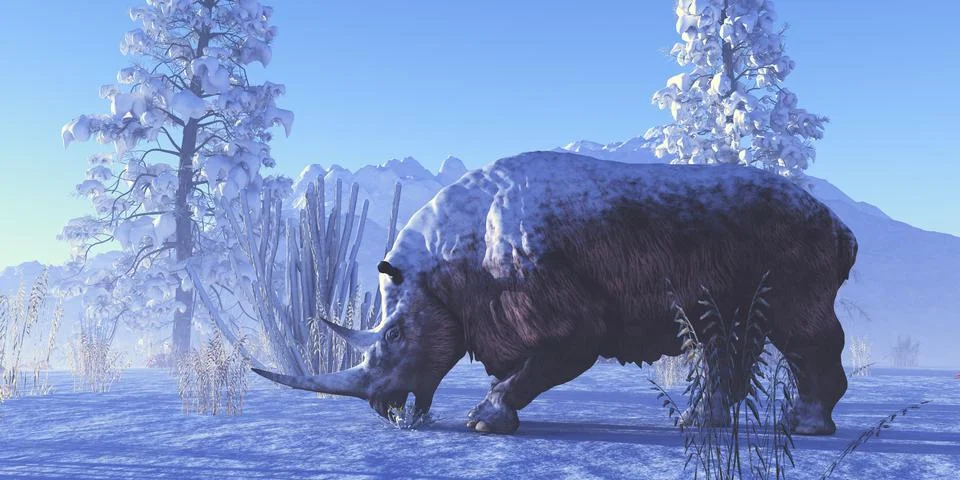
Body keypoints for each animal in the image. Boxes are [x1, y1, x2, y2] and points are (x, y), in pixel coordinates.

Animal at [254, 151, 857, 435]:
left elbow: (553, 357)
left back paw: (802, 428)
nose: (383, 408)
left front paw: (483, 422)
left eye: (397, 334)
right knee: (721, 334)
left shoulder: (565, 312)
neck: (441, 269)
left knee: (799, 328)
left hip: (795, 243)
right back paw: (698, 424)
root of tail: (840, 226)